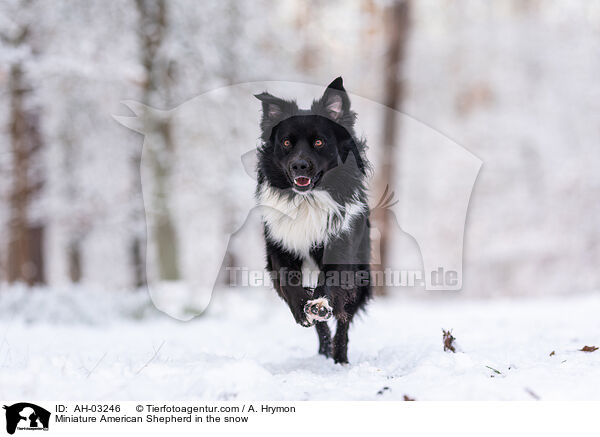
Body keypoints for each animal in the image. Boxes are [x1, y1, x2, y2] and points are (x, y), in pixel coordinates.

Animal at [255, 76, 372, 362]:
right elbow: (288, 281)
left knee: (344, 321)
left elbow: (330, 285)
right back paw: (323, 349)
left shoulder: (341, 249)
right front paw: (302, 310)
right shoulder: (279, 247)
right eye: (286, 143)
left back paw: (339, 357)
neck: (306, 200)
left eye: (319, 142)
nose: (299, 166)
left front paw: (319, 304)